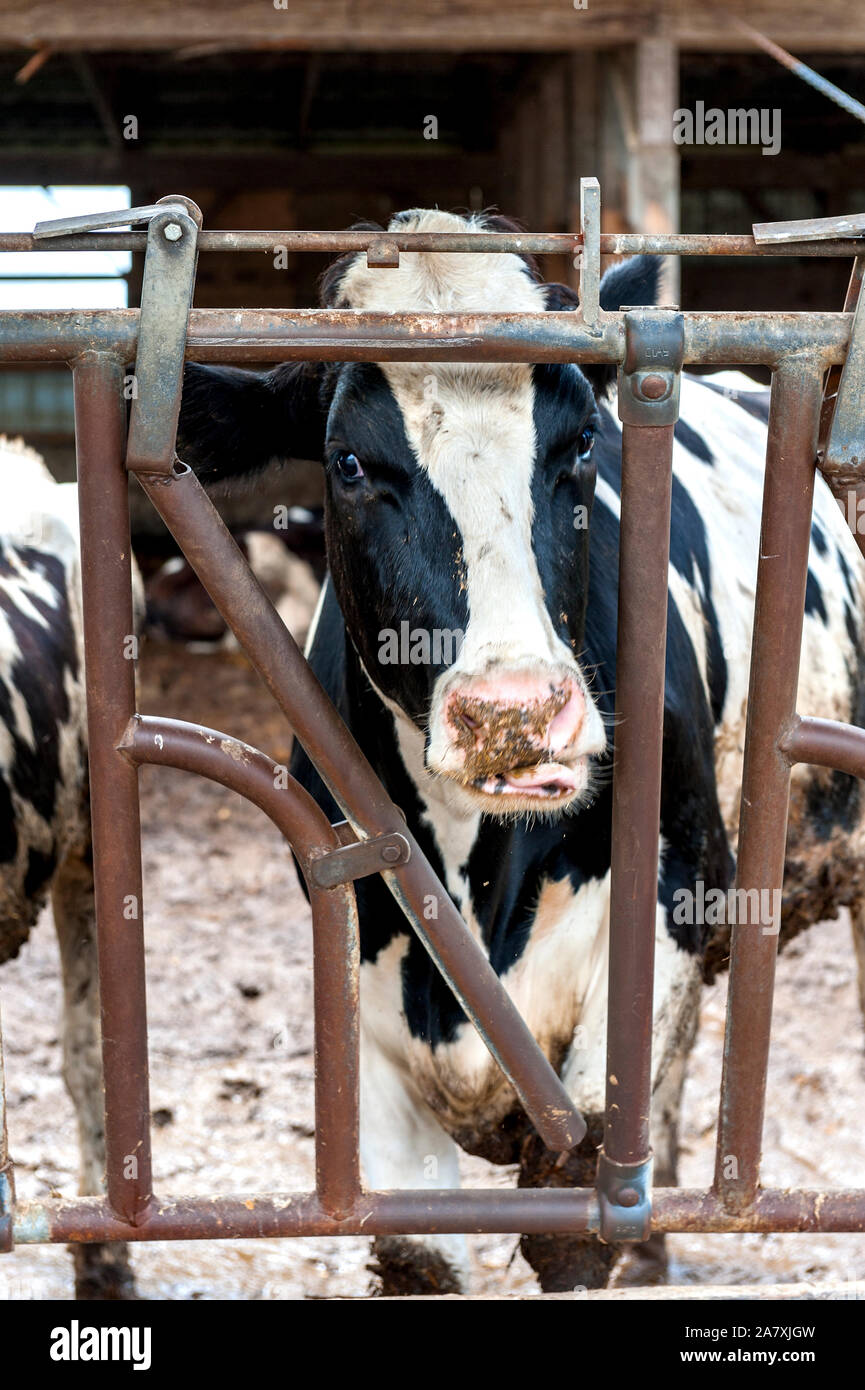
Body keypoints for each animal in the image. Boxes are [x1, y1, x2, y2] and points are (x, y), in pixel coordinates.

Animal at [178, 211, 865, 1295]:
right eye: (348, 463)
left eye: (581, 440)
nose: (513, 714)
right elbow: (418, 1251)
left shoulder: (679, 892)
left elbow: (578, 1206)